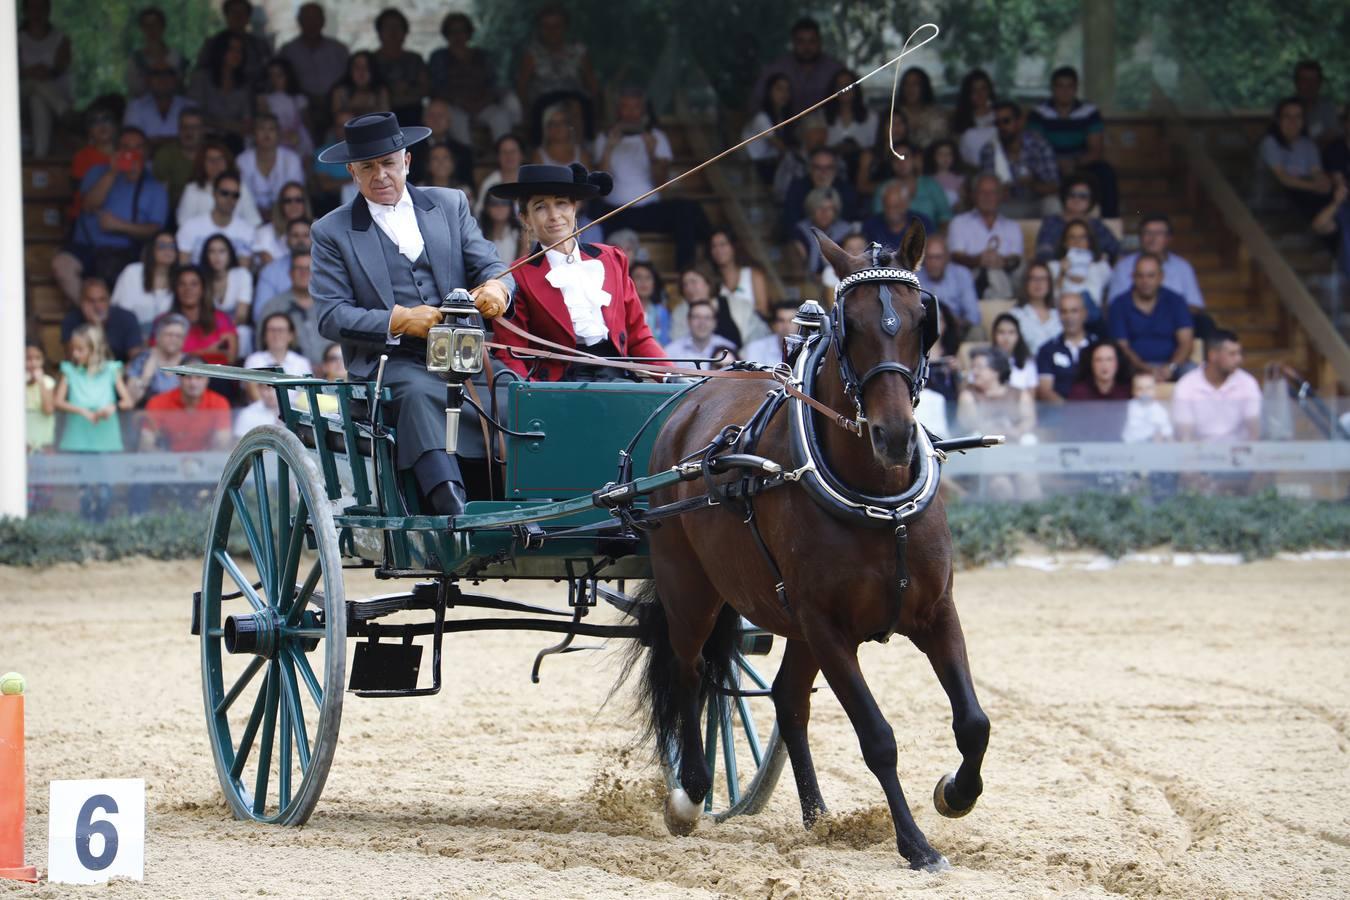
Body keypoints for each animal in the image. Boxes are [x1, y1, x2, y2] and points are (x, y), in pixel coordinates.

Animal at [623, 223, 993, 874]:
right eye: (850, 325)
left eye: (922, 318)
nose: (894, 436)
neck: (879, 501)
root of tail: (688, 402)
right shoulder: (827, 626)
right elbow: (878, 738)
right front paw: (916, 844)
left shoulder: (934, 612)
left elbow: (974, 722)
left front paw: (955, 793)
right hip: (692, 591)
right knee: (691, 673)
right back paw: (691, 793)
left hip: (787, 619)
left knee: (786, 699)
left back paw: (817, 816)